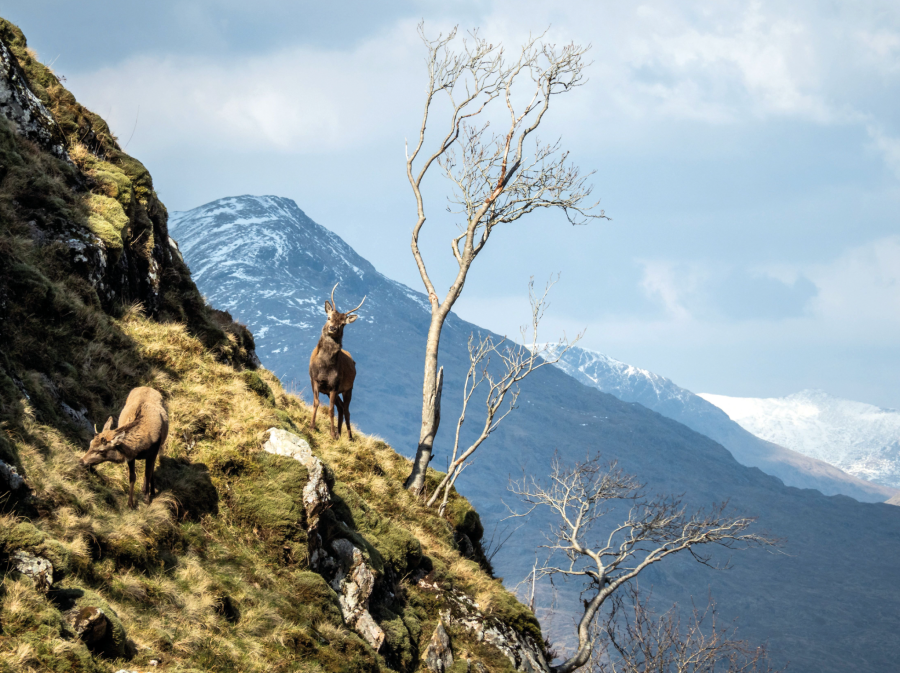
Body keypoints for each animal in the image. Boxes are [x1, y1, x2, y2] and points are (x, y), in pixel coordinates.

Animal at [310, 284, 366, 440]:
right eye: (328, 317)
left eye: (342, 324)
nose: (332, 328)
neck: (325, 367)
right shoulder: (314, 379)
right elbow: (316, 403)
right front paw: (312, 426)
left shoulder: (334, 385)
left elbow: (330, 410)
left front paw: (331, 434)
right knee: (340, 407)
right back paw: (339, 433)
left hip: (348, 388)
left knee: (346, 409)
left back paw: (349, 436)